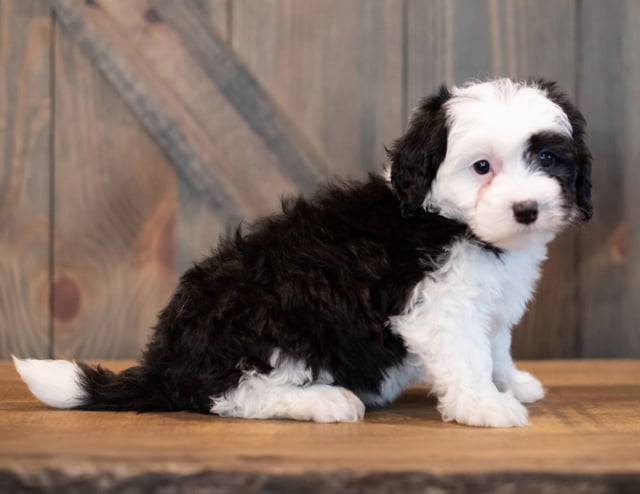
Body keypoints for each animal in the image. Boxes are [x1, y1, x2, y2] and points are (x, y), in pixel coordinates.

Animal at [13, 79, 592, 426]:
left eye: (546, 158)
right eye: (481, 167)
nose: (527, 210)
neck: (450, 220)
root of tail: (167, 362)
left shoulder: (486, 303)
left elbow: (495, 347)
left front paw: (512, 384)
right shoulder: (438, 304)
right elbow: (468, 356)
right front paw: (485, 405)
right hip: (273, 318)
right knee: (233, 394)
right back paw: (324, 399)